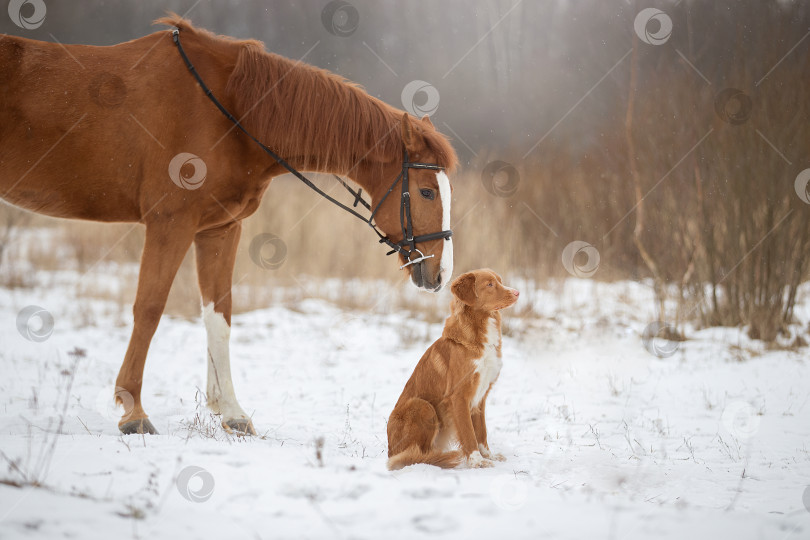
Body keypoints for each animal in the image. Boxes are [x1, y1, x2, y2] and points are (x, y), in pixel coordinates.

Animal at [0, 14, 454, 436]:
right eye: (427, 192)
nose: (440, 274)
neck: (230, 111)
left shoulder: (219, 229)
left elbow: (219, 314)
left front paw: (232, 411)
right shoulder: (171, 224)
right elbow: (149, 308)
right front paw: (133, 411)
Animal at [386, 270, 516, 468]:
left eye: (500, 281)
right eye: (490, 284)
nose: (517, 292)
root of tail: (389, 450)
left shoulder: (481, 396)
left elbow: (481, 431)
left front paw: (488, 456)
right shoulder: (459, 396)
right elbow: (468, 433)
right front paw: (477, 461)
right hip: (423, 406)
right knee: (414, 456)